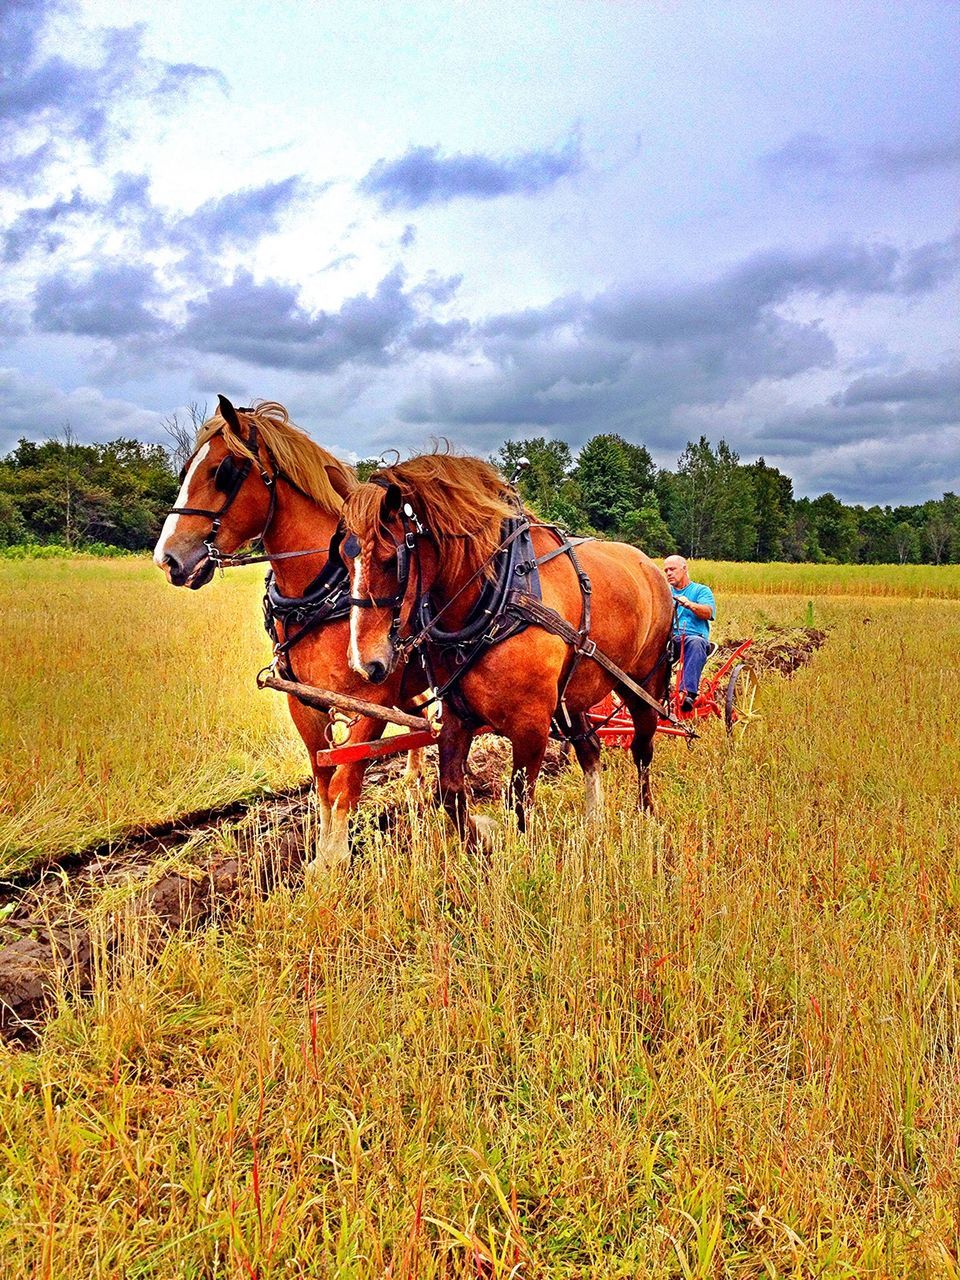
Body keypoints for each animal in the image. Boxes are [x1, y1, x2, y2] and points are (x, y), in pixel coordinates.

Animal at [154, 391, 424, 870]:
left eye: (222, 471)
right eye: (184, 470)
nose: (166, 559)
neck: (327, 591)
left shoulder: (374, 701)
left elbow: (347, 781)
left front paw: (335, 862)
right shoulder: (303, 700)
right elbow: (323, 779)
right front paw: (320, 858)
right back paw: (415, 786)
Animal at [343, 453, 670, 849]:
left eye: (391, 559)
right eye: (343, 559)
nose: (365, 663)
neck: (499, 599)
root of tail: (653, 566)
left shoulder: (531, 725)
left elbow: (519, 797)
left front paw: (522, 854)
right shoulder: (458, 714)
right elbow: (450, 792)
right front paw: (480, 845)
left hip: (644, 682)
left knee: (642, 748)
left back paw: (646, 814)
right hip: (572, 694)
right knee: (590, 747)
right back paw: (594, 819)